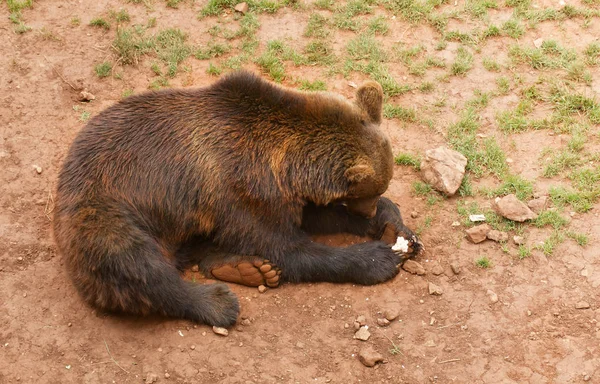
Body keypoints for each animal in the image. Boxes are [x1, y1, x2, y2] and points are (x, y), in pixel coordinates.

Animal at [55, 69, 422, 328]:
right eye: (371, 190)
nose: (369, 210)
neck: (282, 162)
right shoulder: (239, 189)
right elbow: (285, 247)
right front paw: (376, 258)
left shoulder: (277, 194)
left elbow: (315, 215)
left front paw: (393, 225)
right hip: (104, 208)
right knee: (132, 261)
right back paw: (217, 300)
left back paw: (245, 268)